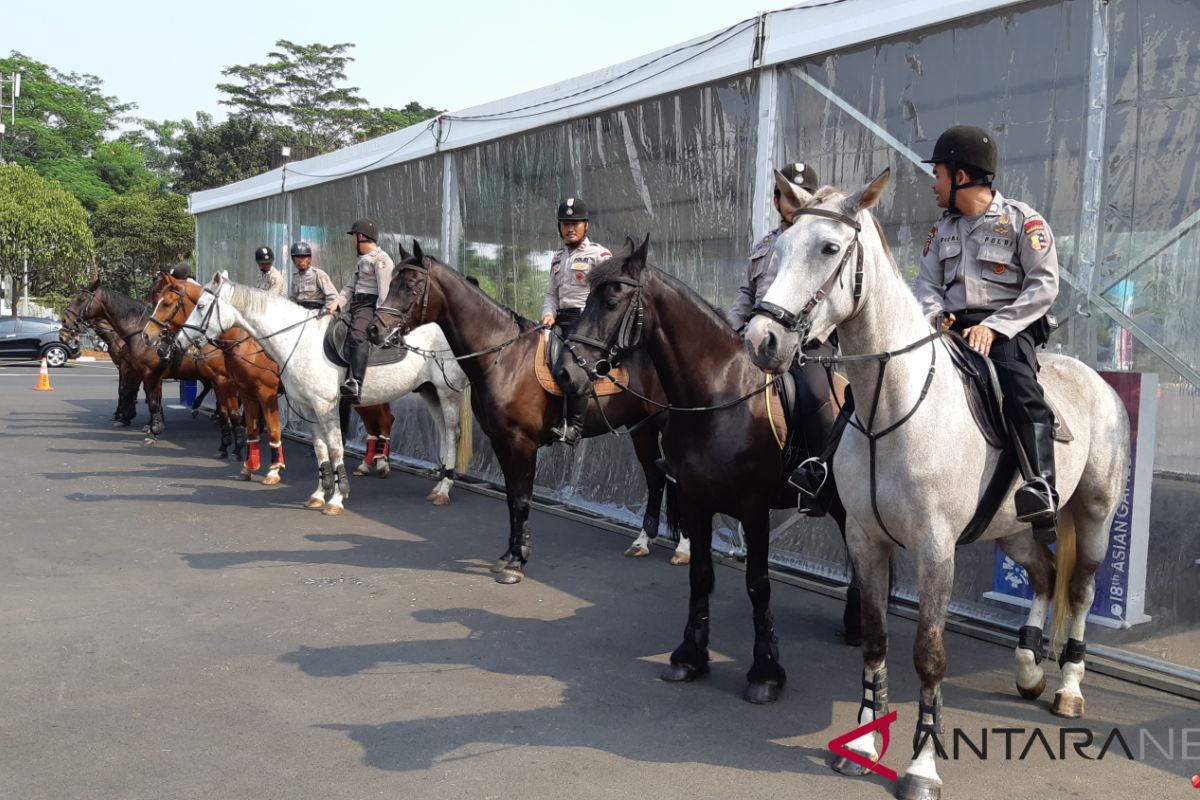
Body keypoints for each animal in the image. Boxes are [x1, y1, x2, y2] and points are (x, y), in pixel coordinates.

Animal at [145, 275, 403, 489]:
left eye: (167, 303)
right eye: (155, 298)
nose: (148, 336)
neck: (245, 342)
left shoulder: (260, 391)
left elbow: (270, 428)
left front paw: (272, 469)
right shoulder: (241, 390)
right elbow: (243, 422)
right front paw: (247, 462)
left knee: (384, 420)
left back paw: (381, 462)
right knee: (377, 423)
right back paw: (369, 462)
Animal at [177, 273, 468, 513]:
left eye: (200, 306)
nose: (179, 341)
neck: (299, 341)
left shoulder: (323, 405)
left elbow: (336, 448)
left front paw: (337, 498)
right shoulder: (306, 407)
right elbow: (320, 449)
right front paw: (319, 494)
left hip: (447, 392)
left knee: (451, 434)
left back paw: (442, 488)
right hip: (430, 392)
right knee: (442, 433)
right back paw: (437, 481)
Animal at [364, 241, 676, 585]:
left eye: (412, 286)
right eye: (392, 282)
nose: (374, 329)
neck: (504, 357)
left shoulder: (521, 442)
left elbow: (523, 498)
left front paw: (517, 562)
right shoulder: (501, 440)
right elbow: (513, 498)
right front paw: (509, 555)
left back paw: (682, 550)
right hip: (642, 428)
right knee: (656, 477)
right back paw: (643, 542)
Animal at [744, 172, 1128, 800]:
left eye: (828, 248)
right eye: (776, 251)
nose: (763, 340)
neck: (892, 406)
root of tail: (1096, 381)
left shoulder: (934, 550)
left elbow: (929, 655)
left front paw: (922, 766)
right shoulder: (866, 542)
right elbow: (876, 640)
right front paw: (863, 747)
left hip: (1094, 517)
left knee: (1079, 590)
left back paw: (1068, 689)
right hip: (1012, 528)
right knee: (1045, 574)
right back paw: (1028, 670)